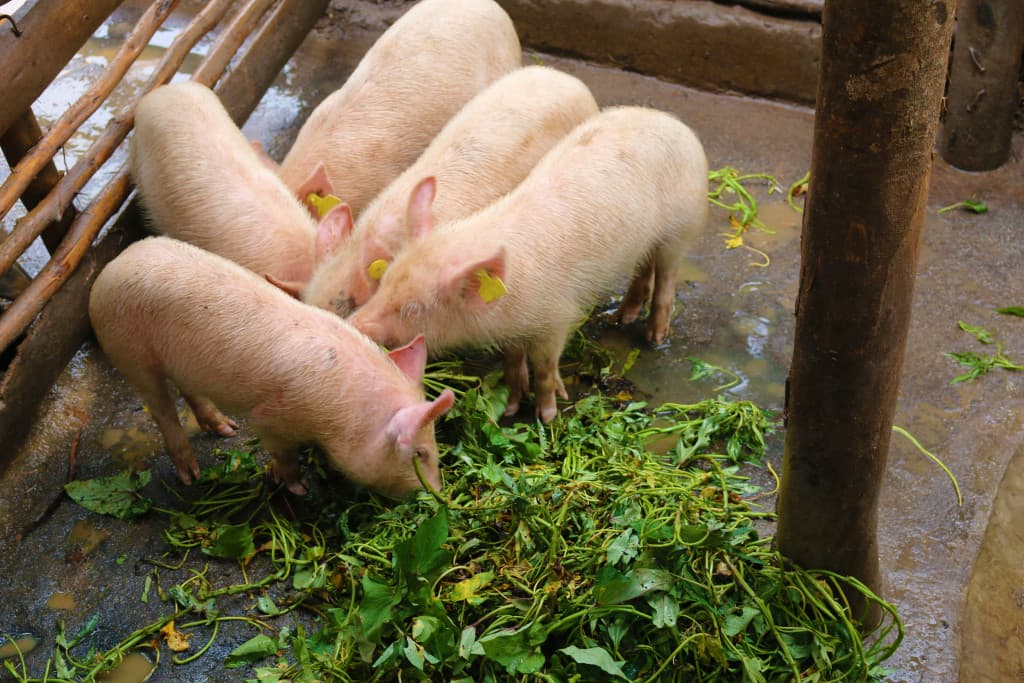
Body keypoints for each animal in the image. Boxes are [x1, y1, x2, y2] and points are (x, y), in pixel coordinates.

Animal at [88, 236, 455, 497]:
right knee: (161, 408)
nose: (438, 493)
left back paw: (227, 429)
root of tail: (110, 269)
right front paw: (297, 488)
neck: (345, 416)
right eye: (420, 453)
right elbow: (283, 453)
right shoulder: (271, 417)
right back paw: (192, 476)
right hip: (128, 350)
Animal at [348, 107, 709, 423]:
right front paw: (510, 408)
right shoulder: (511, 328)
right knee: (643, 269)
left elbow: (545, 369)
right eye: (385, 282)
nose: (354, 323)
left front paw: (546, 415)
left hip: (681, 227)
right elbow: (512, 363)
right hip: (645, 241)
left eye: (413, 308)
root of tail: (675, 124)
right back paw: (622, 317)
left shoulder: (556, 317)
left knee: (666, 279)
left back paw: (655, 339)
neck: (508, 304)